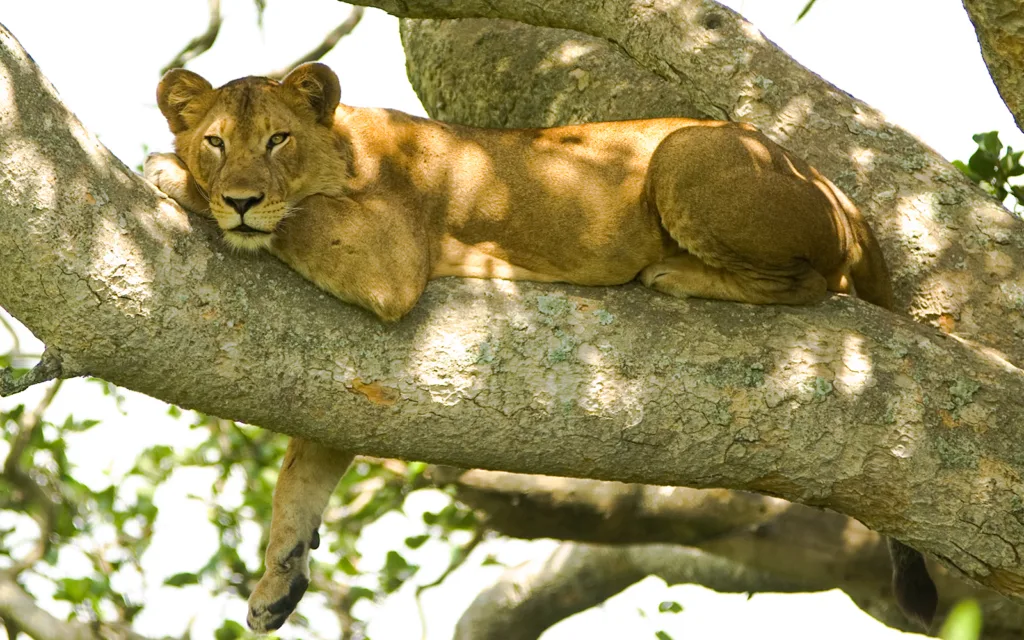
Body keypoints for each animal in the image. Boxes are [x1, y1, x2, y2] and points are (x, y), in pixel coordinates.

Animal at [145, 62, 936, 632]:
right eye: (216, 141)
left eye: (277, 140)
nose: (240, 199)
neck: (345, 148)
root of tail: (842, 191)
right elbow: (305, 467)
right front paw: (279, 576)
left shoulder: (389, 260)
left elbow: (296, 219)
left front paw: (168, 173)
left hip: (687, 152)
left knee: (811, 282)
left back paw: (675, 273)